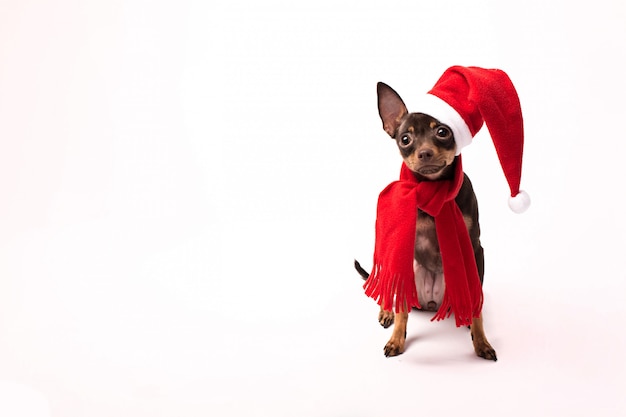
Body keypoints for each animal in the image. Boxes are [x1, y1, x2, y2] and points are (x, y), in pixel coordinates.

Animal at [354, 82, 494, 360]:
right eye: (405, 139)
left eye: (442, 132)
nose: (425, 152)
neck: (432, 191)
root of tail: (430, 303)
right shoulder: (403, 247)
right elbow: (402, 311)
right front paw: (396, 339)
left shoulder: (475, 249)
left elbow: (477, 306)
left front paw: (481, 341)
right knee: (392, 295)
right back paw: (386, 312)